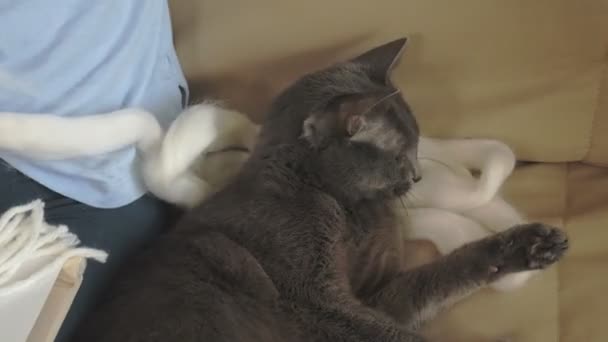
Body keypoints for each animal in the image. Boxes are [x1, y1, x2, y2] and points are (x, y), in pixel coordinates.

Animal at [72, 38, 568, 342]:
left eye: (416, 147)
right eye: (402, 153)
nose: (418, 177)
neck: (344, 205)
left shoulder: (374, 294)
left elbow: (443, 273)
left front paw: (531, 244)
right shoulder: (313, 301)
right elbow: (392, 331)